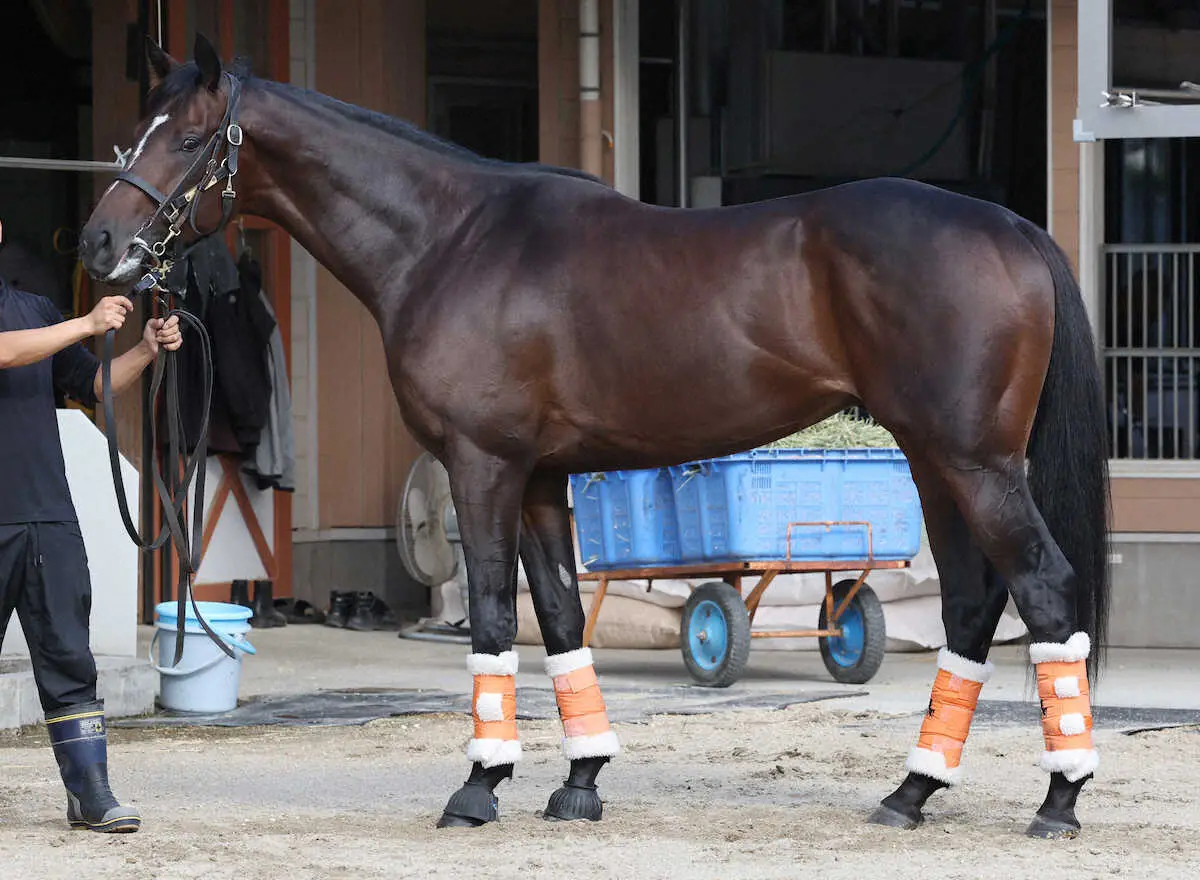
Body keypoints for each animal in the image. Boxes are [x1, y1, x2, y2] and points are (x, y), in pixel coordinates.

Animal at [79, 37, 1108, 840]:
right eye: (134, 132)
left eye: (189, 138)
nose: (96, 245)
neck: (450, 239)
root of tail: (1010, 225)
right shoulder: (540, 479)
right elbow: (563, 619)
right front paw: (579, 784)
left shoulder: (482, 466)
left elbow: (495, 620)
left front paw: (479, 787)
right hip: (937, 462)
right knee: (975, 603)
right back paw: (912, 791)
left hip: (974, 464)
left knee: (1045, 590)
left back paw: (1058, 801)